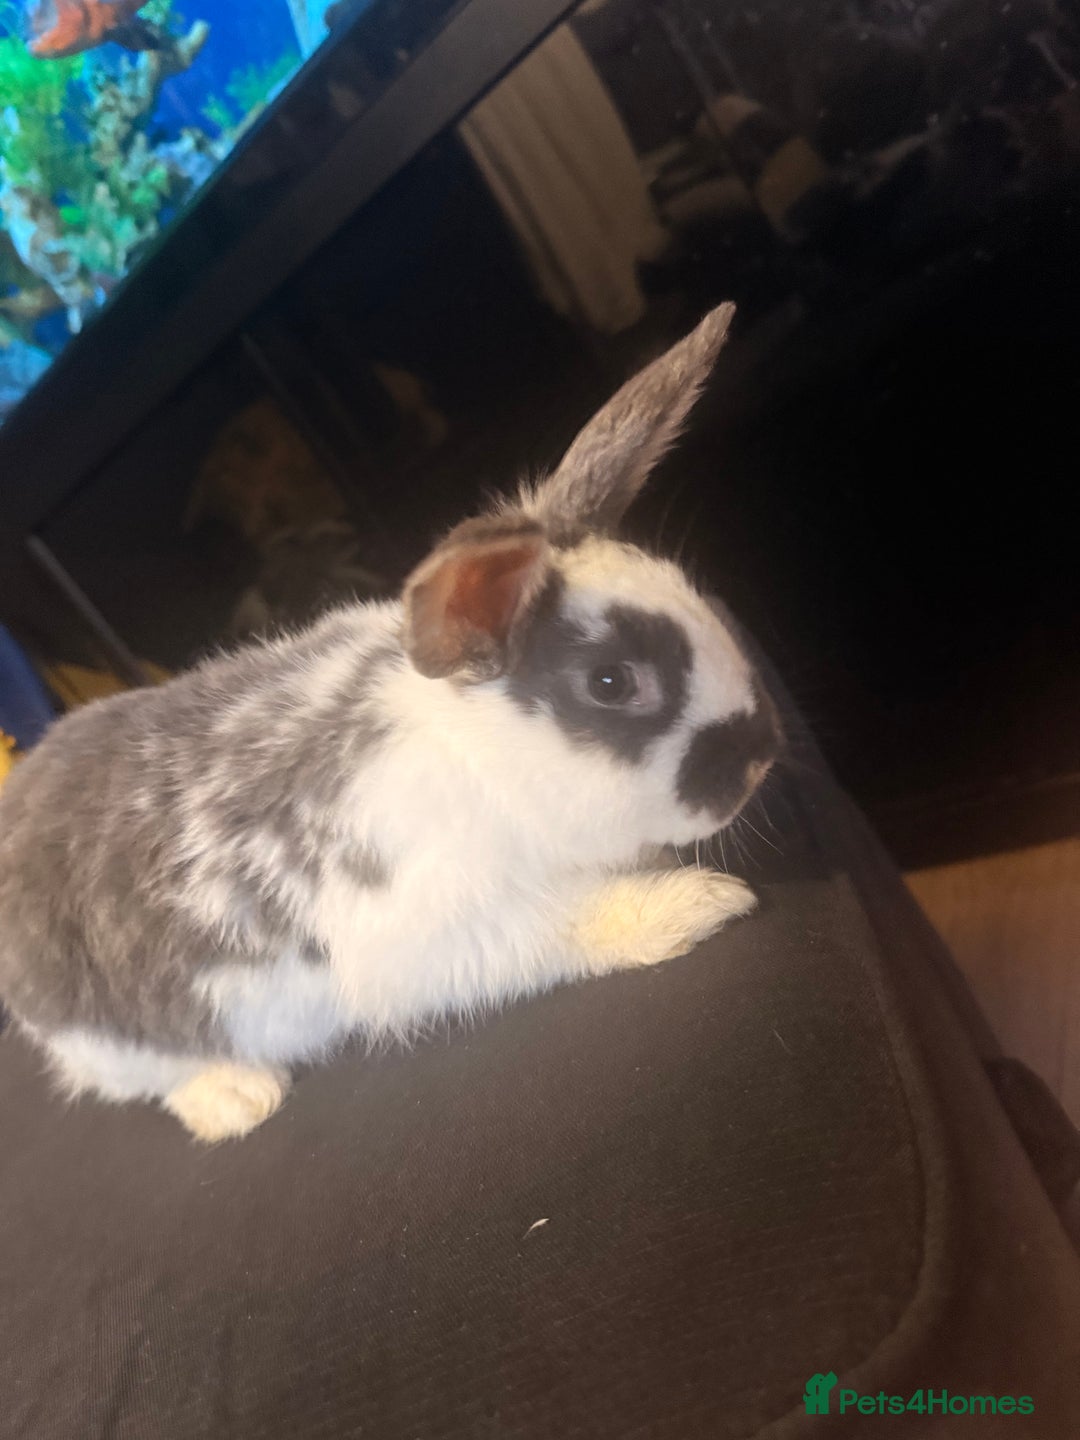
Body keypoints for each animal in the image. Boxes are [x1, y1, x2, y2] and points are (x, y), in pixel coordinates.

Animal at [0, 302, 781, 1143]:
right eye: (612, 683)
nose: (762, 754)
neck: (482, 760)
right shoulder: (442, 931)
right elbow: (571, 923)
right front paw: (697, 905)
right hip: (118, 1036)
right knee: (146, 1076)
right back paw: (238, 1100)